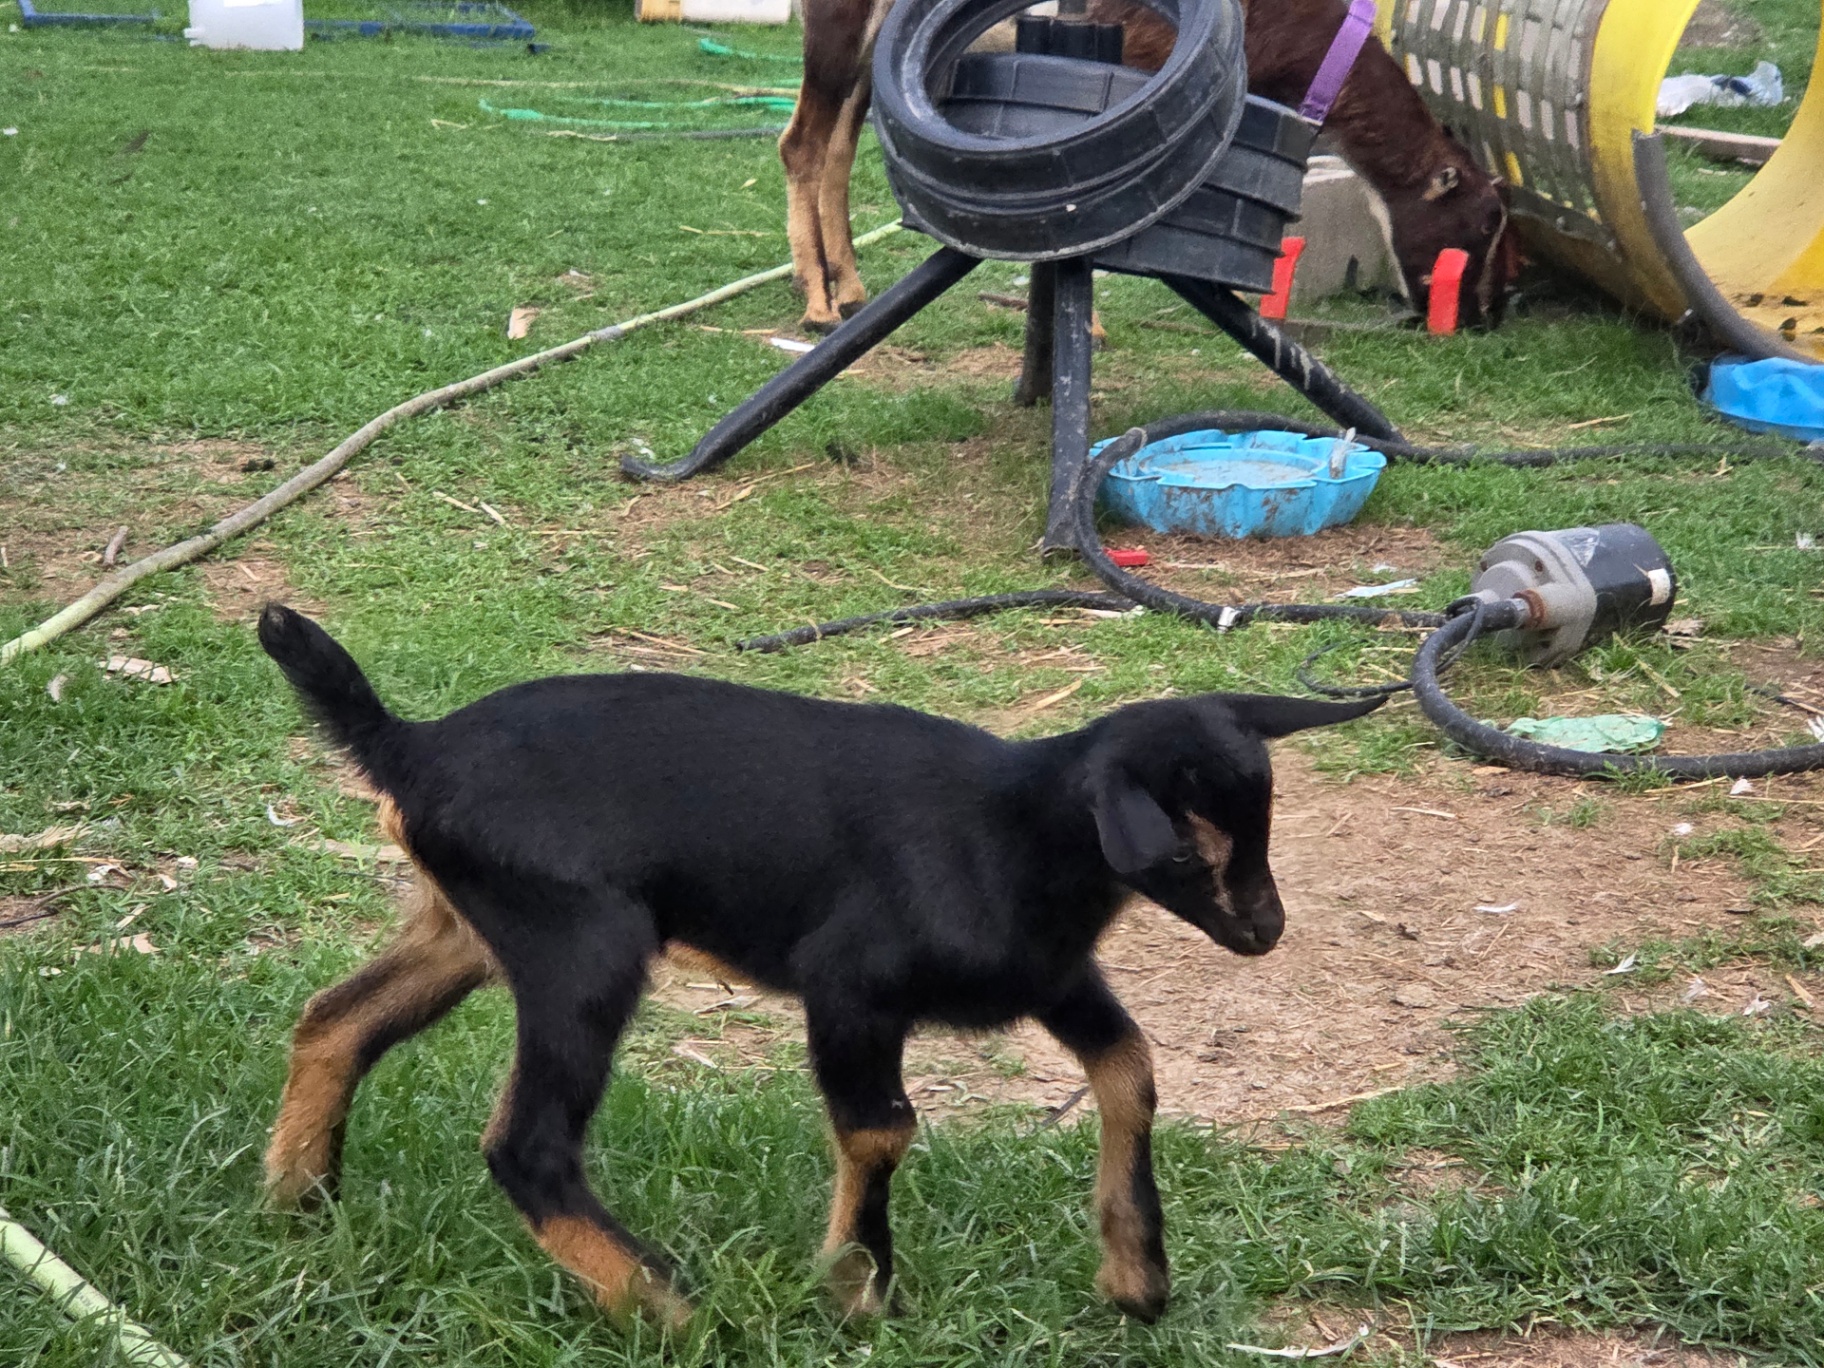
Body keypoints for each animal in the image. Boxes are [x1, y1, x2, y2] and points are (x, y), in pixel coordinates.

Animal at [256, 601, 1381, 1325]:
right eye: (1188, 847)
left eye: (1263, 822)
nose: (1266, 929)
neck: (1010, 833)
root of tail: (409, 747)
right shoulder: (850, 989)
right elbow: (883, 1130)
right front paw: (857, 1288)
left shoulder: (1055, 982)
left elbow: (1132, 1071)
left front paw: (1137, 1277)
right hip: (584, 945)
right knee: (526, 1144)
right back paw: (667, 1308)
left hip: (472, 930)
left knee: (336, 1020)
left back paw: (298, 1206)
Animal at [783, 0, 1515, 332]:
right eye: (1484, 222)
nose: (1484, 317)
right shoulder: (1141, 52)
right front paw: (1090, 323)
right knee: (802, 144)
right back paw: (818, 305)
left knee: (838, 147)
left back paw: (849, 288)